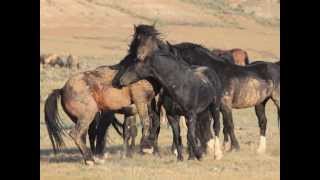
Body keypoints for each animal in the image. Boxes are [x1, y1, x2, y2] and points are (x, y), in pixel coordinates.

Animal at [113, 24, 280, 155]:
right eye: (134, 42)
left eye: (140, 55)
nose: (119, 79)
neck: (214, 72)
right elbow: (203, 126)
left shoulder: (223, 105)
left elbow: (226, 125)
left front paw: (232, 148)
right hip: (260, 103)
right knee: (263, 122)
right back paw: (260, 150)